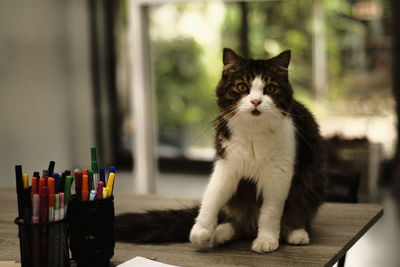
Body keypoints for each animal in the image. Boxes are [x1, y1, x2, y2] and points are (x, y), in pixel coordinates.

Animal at [114, 49, 326, 254]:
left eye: (271, 89)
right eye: (242, 87)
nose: (256, 101)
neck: (253, 133)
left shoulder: (279, 174)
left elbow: (271, 211)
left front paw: (266, 239)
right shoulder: (227, 165)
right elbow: (212, 195)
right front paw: (201, 229)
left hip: (310, 185)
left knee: (294, 213)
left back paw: (296, 232)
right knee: (238, 223)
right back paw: (219, 233)